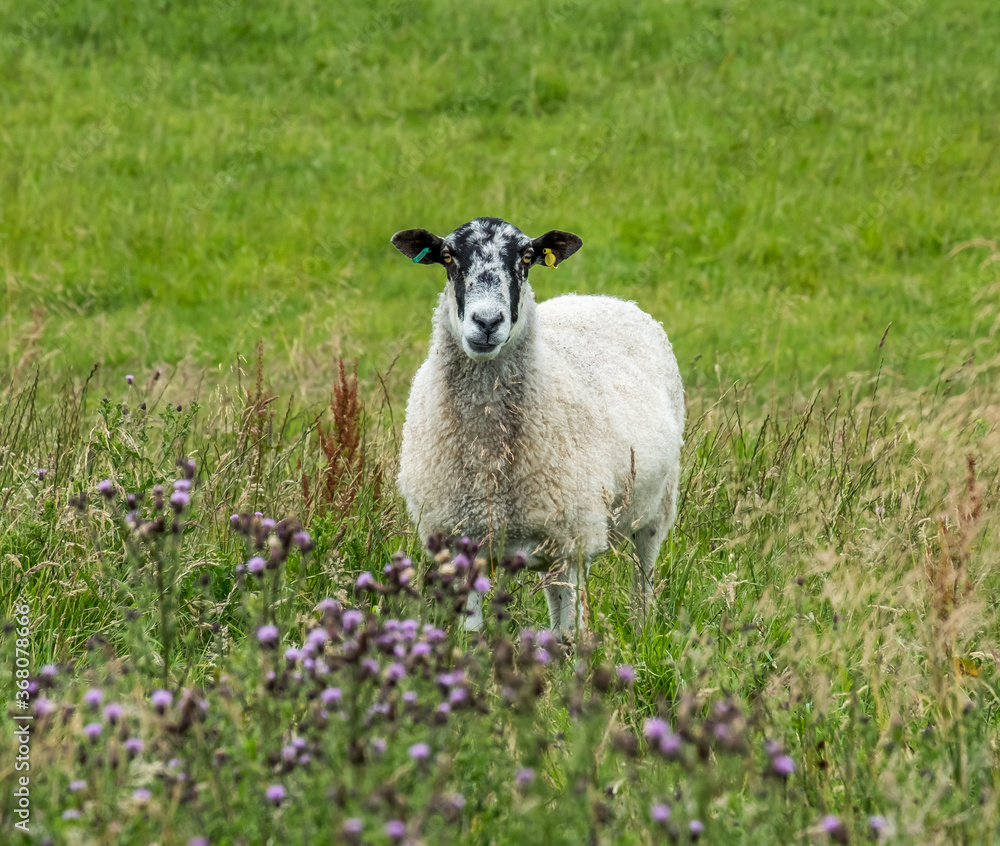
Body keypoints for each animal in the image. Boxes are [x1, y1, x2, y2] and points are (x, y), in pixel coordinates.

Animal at [391, 217, 684, 636]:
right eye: (447, 256)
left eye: (527, 257)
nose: (487, 322)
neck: (489, 458)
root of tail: (601, 297)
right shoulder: (461, 540)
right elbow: (472, 632)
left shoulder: (573, 543)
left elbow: (569, 636)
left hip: (655, 507)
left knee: (642, 575)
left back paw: (641, 629)